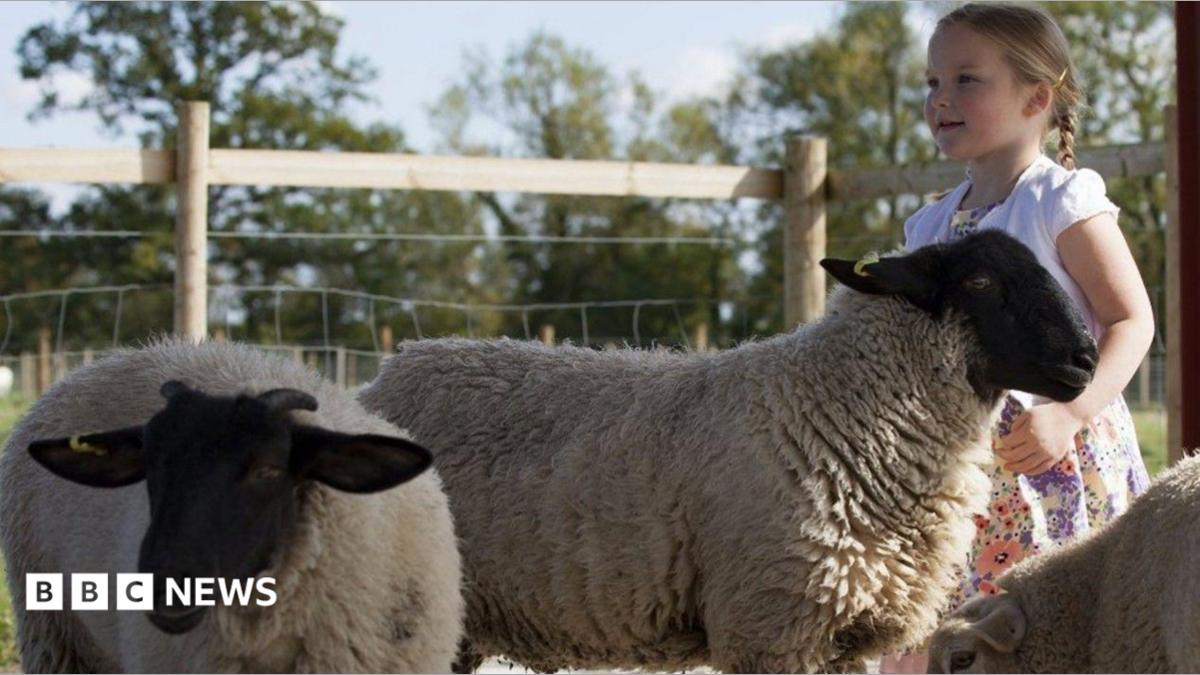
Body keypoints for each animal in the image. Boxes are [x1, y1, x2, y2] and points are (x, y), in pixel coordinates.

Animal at [358, 230, 1099, 673]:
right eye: (980, 283)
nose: (1086, 359)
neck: (836, 406)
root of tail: (381, 378)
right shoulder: (770, 625)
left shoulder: (846, 636)